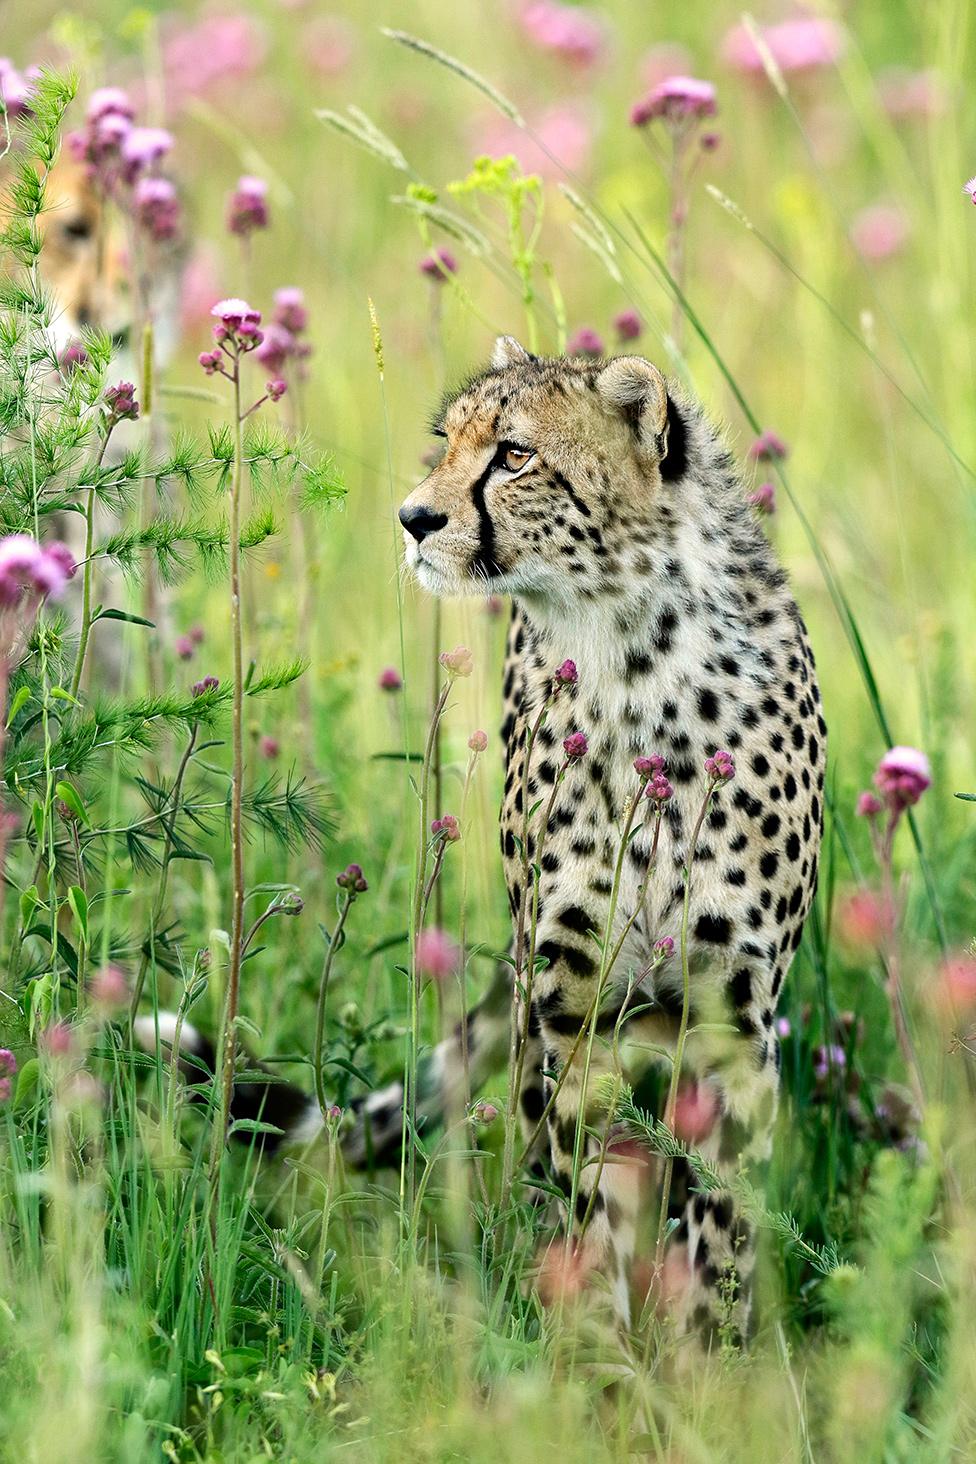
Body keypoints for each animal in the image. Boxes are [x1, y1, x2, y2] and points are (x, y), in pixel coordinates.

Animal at [143, 336, 825, 1341]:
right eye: (448, 442)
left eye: (514, 455)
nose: (414, 518)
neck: (634, 659)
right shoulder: (569, 1005)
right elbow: (585, 1197)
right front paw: (595, 1357)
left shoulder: (733, 1016)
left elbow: (722, 1223)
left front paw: (706, 1361)